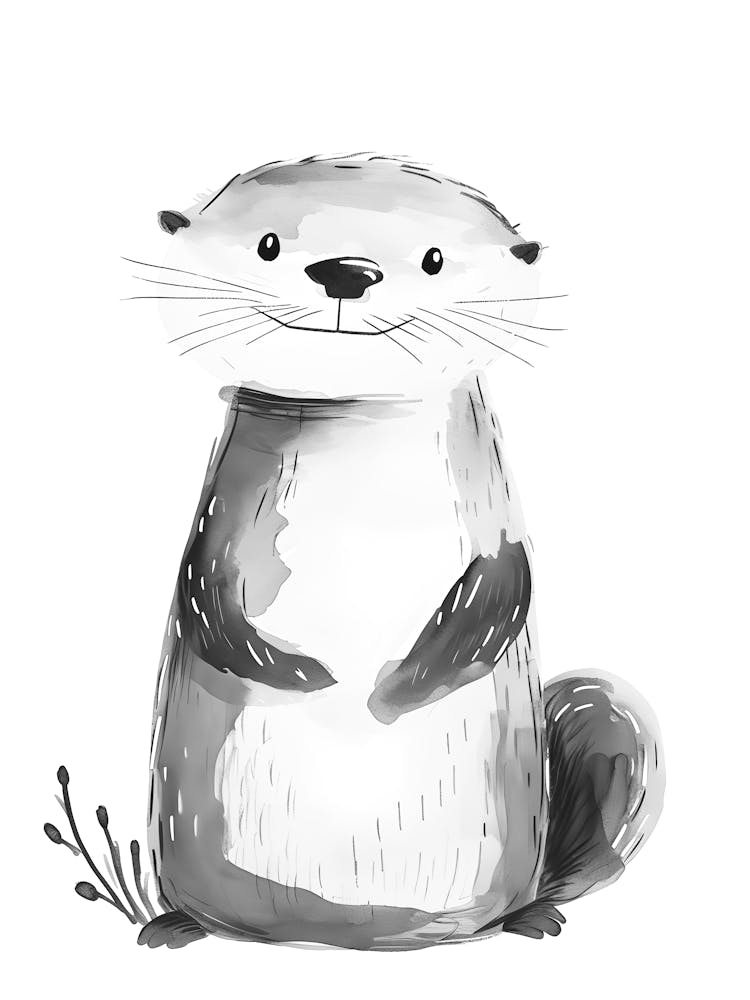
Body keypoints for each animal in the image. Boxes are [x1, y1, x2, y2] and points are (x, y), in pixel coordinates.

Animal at [129, 154, 663, 949]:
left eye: (434, 259)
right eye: (266, 245)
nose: (347, 270)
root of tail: (346, 933)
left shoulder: (492, 507)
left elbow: (509, 576)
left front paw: (409, 681)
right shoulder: (223, 510)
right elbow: (201, 587)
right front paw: (300, 672)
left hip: (605, 733)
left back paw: (532, 917)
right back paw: (174, 926)